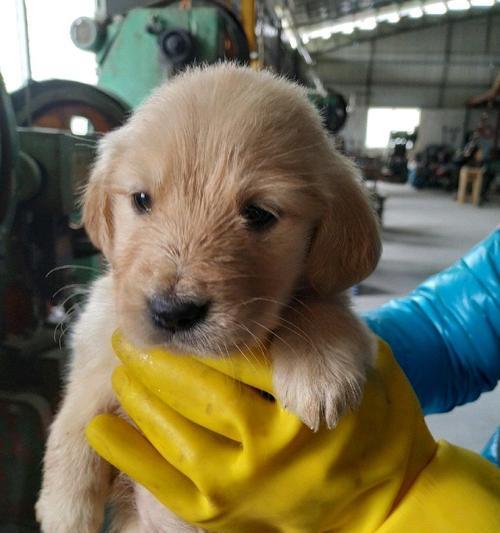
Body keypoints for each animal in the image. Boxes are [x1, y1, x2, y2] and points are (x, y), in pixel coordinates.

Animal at [36, 64, 378, 528]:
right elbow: (78, 406)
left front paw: (319, 368)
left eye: (259, 214)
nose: (172, 313)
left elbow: (324, 305)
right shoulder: (100, 333)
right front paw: (63, 511)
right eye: (141, 199)